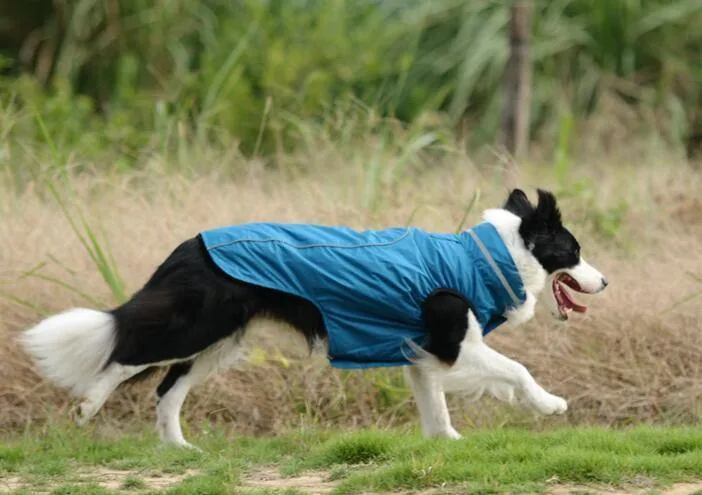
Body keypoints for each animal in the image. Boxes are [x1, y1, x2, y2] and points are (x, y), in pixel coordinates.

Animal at [19, 189, 608, 450]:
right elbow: (516, 370)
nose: (605, 282)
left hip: (219, 343)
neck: (489, 257)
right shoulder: (452, 345)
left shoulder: (418, 352)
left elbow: (435, 406)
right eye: (574, 252)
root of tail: (186, 247)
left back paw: (180, 449)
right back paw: (87, 407)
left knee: (167, 389)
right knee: (126, 350)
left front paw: (448, 445)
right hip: (195, 327)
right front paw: (551, 405)